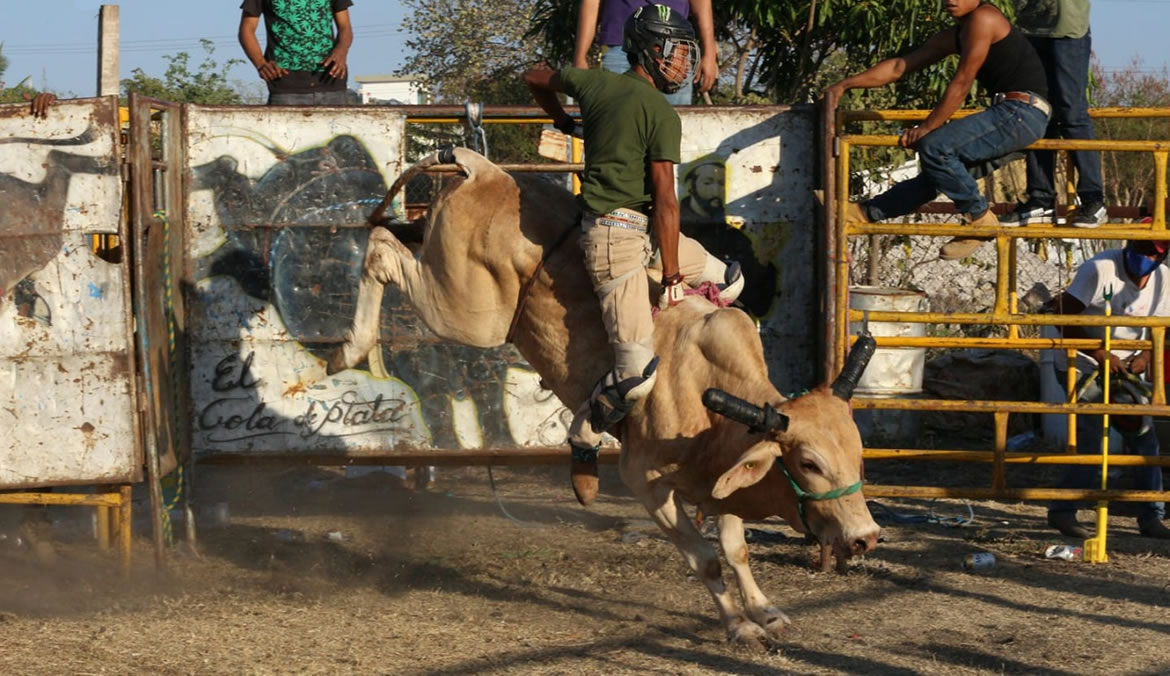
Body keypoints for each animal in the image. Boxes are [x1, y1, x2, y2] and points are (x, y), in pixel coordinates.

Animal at [329, 148, 879, 645]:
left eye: (857, 454)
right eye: (808, 463)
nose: (866, 537)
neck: (701, 394)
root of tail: (481, 168)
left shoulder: (718, 479)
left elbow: (734, 547)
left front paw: (765, 611)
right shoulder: (646, 481)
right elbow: (704, 557)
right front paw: (739, 626)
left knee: (392, 235)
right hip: (464, 309)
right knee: (381, 250)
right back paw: (347, 347)